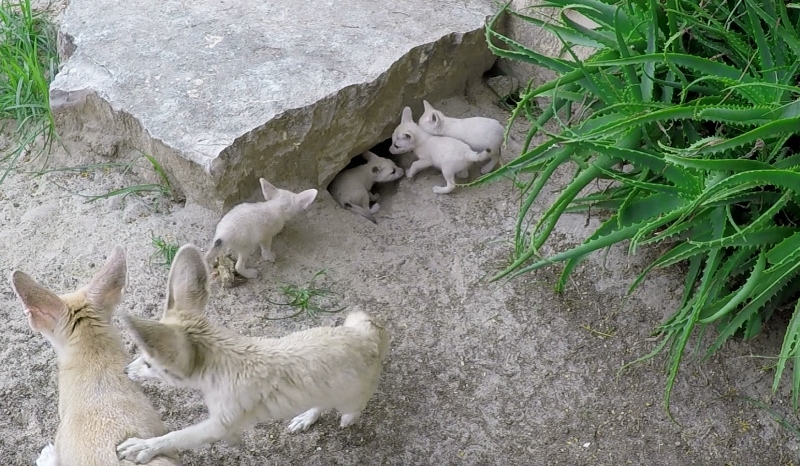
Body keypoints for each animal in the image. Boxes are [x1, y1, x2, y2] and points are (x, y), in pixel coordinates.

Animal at [117, 244, 392, 462]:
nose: (126, 371)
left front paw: (144, 447)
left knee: (353, 407)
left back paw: (347, 418)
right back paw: (304, 418)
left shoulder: (222, 422)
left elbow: (177, 436)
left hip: (351, 395)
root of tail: (369, 335)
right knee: (321, 404)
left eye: (150, 363)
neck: (221, 362)